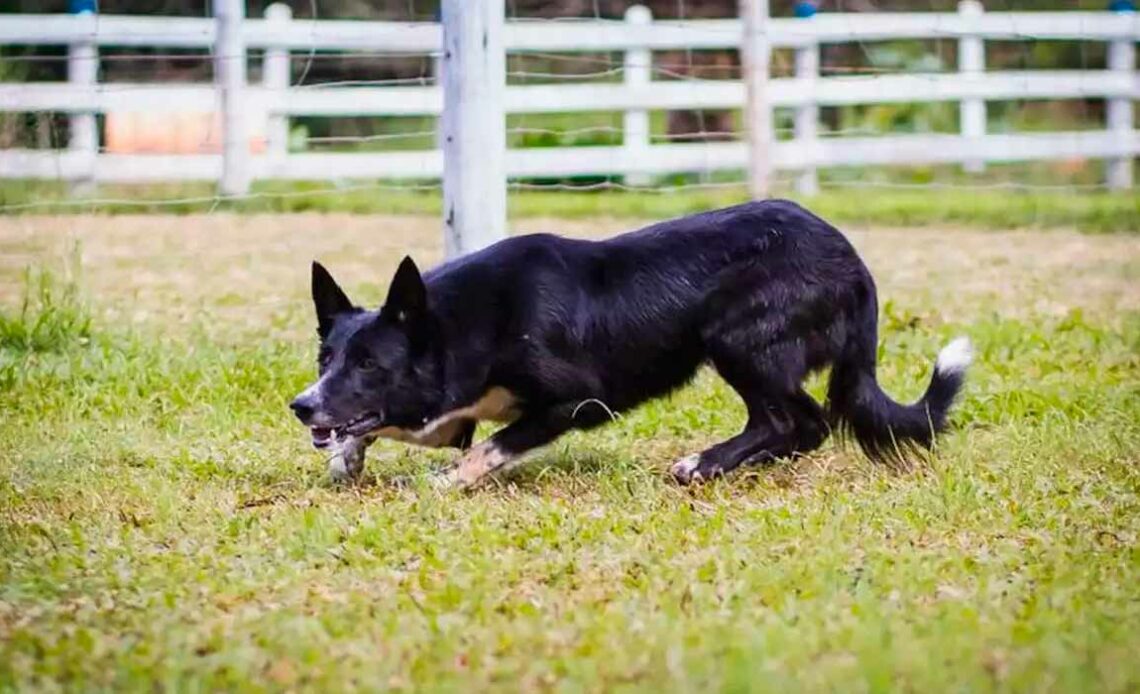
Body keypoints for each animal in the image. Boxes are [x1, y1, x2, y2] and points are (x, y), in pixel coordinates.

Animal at [289, 200, 966, 487]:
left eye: (370, 363)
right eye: (327, 359)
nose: (301, 406)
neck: (465, 322)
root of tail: (853, 263)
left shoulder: (576, 402)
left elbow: (491, 445)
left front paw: (448, 482)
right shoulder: (450, 407)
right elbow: (393, 426)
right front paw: (346, 457)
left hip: (738, 338)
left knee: (801, 420)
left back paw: (705, 466)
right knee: (787, 424)